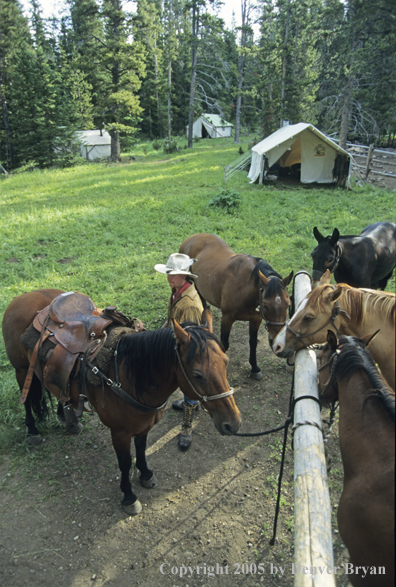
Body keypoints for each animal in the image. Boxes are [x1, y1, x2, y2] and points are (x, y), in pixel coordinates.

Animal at [1, 290, 240, 516]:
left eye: (226, 362)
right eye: (197, 374)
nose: (234, 424)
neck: (130, 376)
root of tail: (24, 296)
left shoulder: (144, 425)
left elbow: (141, 450)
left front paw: (146, 474)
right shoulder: (119, 432)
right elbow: (125, 463)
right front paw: (129, 497)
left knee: (60, 390)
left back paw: (69, 420)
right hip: (21, 370)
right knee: (26, 401)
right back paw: (32, 432)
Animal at [179, 232, 294, 378]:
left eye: (287, 304)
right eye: (266, 305)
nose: (276, 342)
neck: (246, 287)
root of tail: (192, 237)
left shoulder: (256, 319)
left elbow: (253, 343)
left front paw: (254, 368)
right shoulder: (227, 318)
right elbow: (224, 344)